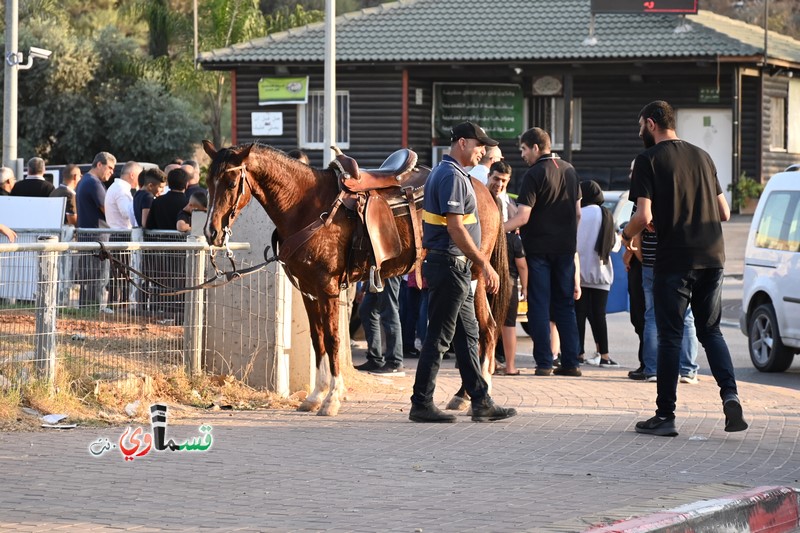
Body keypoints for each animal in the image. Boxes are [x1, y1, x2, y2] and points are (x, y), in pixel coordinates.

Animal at [203, 141, 510, 416]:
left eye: (231, 183)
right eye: (208, 183)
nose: (211, 232)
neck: (306, 206)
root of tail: (484, 190)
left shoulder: (327, 288)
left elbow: (333, 339)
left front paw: (332, 399)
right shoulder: (308, 290)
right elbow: (318, 340)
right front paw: (315, 395)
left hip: (475, 277)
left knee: (485, 330)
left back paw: (478, 395)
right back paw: (463, 396)